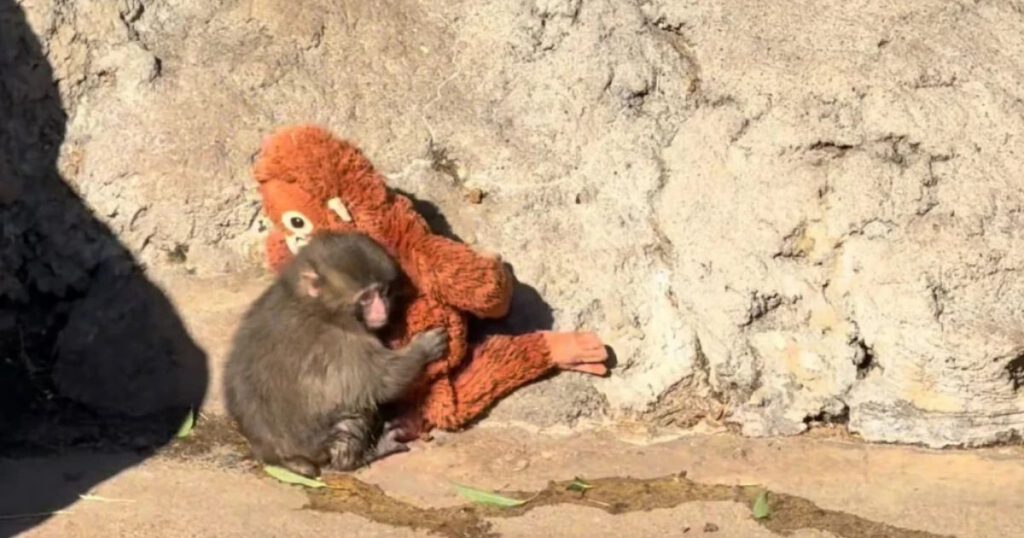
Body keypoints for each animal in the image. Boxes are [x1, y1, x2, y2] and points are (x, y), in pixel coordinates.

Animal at [223, 231, 448, 477]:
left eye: (382, 292)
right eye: (366, 297)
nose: (382, 311)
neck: (316, 304)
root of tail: (275, 455)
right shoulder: (343, 342)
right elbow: (383, 381)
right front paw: (424, 347)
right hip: (319, 444)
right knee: (354, 413)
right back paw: (359, 457)